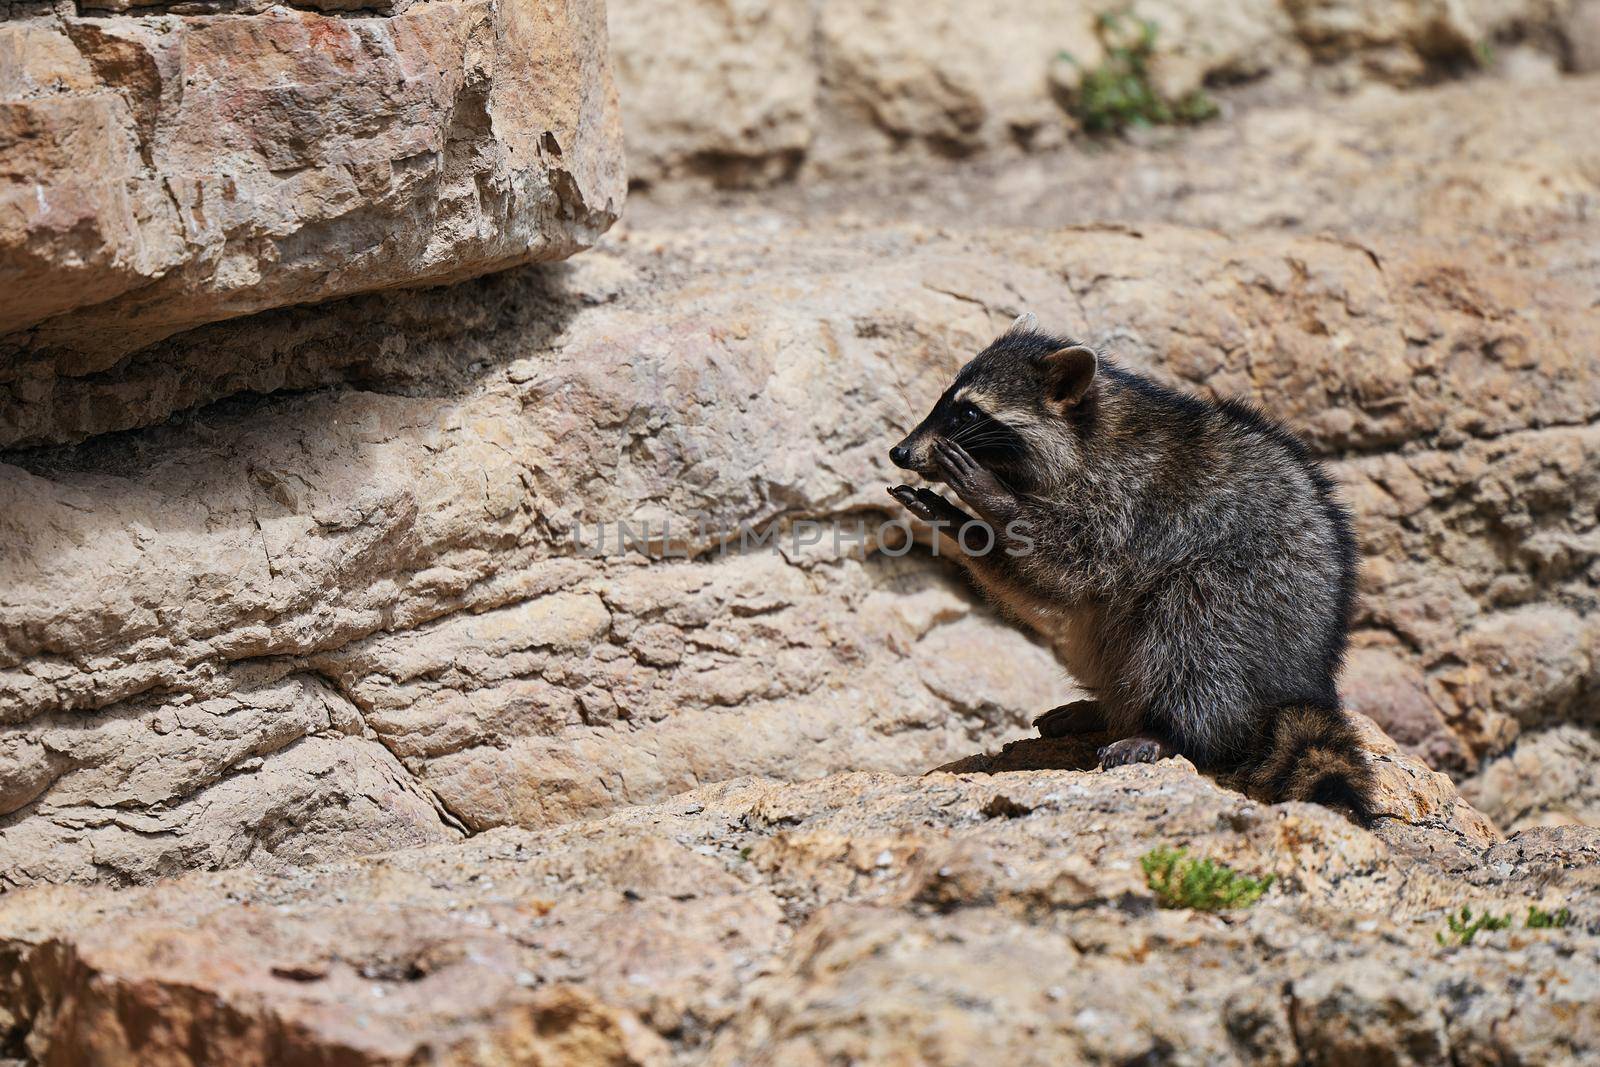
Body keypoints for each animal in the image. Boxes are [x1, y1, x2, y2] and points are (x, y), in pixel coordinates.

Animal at [889, 313, 1376, 812]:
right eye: (946, 401)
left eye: (968, 413)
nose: (900, 452)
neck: (1088, 430)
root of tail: (1304, 681)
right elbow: (1047, 582)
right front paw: (958, 522)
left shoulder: (1132, 496)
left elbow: (1072, 558)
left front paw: (992, 498)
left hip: (1252, 592)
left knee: (1194, 633)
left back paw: (1168, 730)